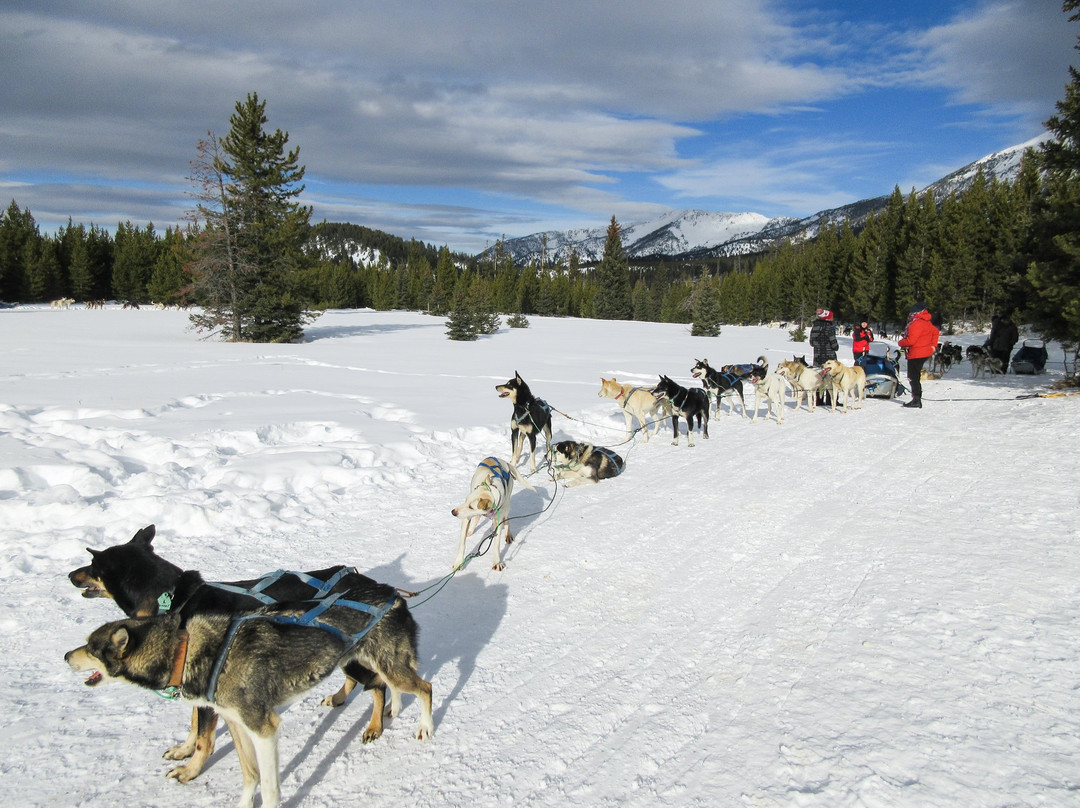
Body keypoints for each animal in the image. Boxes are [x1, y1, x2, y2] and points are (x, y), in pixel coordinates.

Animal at [69, 527, 403, 777]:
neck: (173, 599)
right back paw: (339, 696)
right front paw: (183, 750)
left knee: (378, 683)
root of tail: (366, 581)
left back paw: (374, 725)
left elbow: (203, 738)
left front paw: (191, 770)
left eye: (92, 567)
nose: (71, 574)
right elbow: (193, 725)